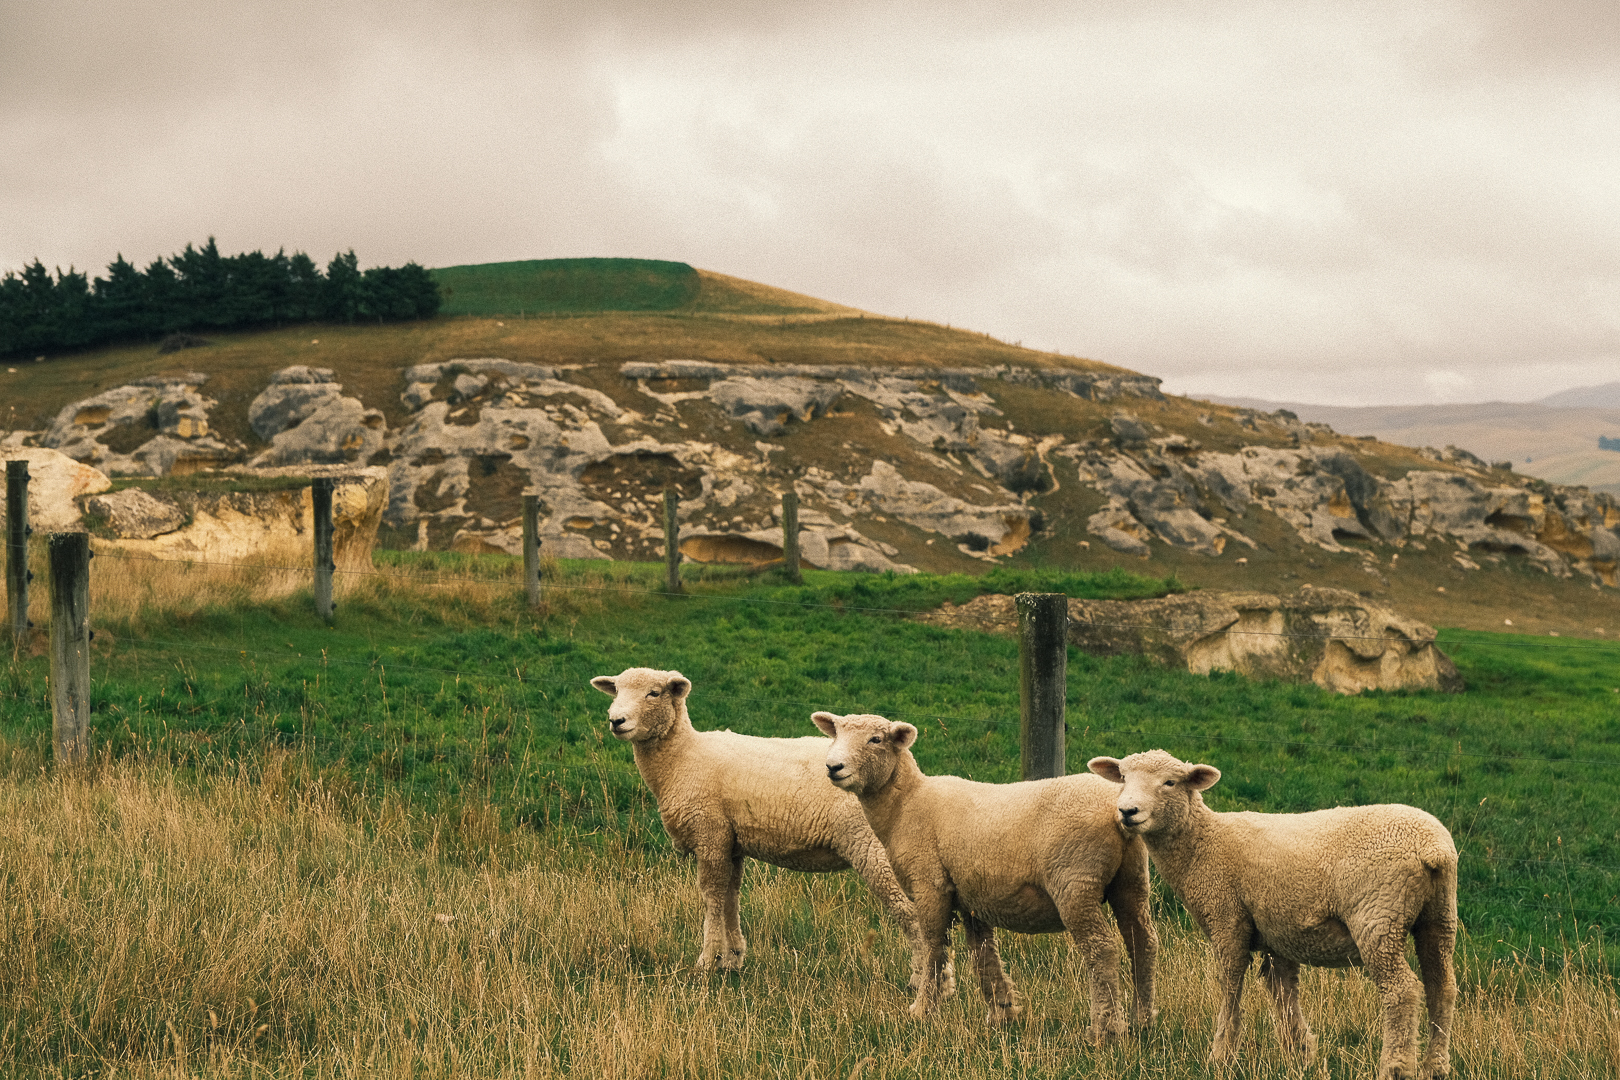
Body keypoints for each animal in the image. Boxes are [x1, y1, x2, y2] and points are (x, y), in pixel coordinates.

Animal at [592, 667, 926, 977]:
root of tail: (915, 778)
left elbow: (712, 897)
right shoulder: (730, 841)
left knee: (912, 911)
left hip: (874, 848)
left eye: (654, 693)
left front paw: (706, 963)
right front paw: (732, 959)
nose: (616, 720)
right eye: (616, 690)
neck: (682, 759)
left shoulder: (710, 833)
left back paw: (921, 978)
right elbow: (730, 895)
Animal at [816, 705, 1159, 1042]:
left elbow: (933, 947)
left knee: (1102, 949)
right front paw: (1001, 1012)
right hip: (1131, 879)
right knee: (1142, 942)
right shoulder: (971, 897)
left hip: (1076, 881)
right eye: (837, 735)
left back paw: (1105, 1029)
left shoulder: (930, 884)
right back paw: (1142, 1020)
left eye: (875, 739)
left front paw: (922, 1010)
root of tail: (1116, 810)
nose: (833, 767)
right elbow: (983, 954)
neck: (906, 804)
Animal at [1088, 751, 1458, 1080]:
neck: (1204, 844)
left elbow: (1230, 985)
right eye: (1123, 778)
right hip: (1439, 917)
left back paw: (1395, 1068)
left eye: (1170, 782)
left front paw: (1221, 1056)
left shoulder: (1228, 918)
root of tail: (1433, 848)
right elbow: (1283, 992)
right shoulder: (1276, 936)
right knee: (1442, 986)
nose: (1127, 811)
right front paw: (1302, 1056)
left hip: (1378, 915)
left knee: (1402, 990)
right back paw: (1435, 1067)